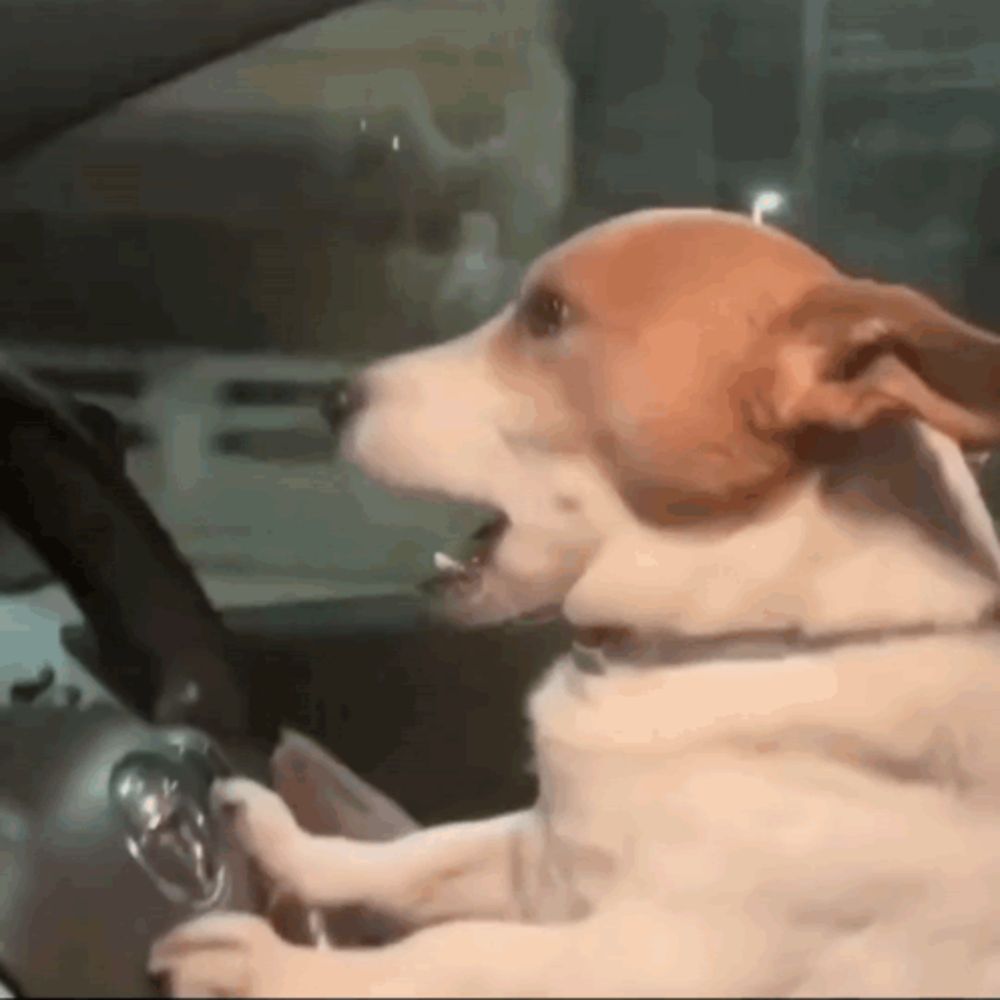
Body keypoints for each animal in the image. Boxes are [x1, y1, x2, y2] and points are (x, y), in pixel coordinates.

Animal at [148, 207, 1000, 996]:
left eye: (548, 315)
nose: (332, 397)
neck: (731, 644)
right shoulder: (542, 853)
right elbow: (420, 853)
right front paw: (289, 844)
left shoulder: (650, 955)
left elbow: (452, 953)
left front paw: (268, 967)